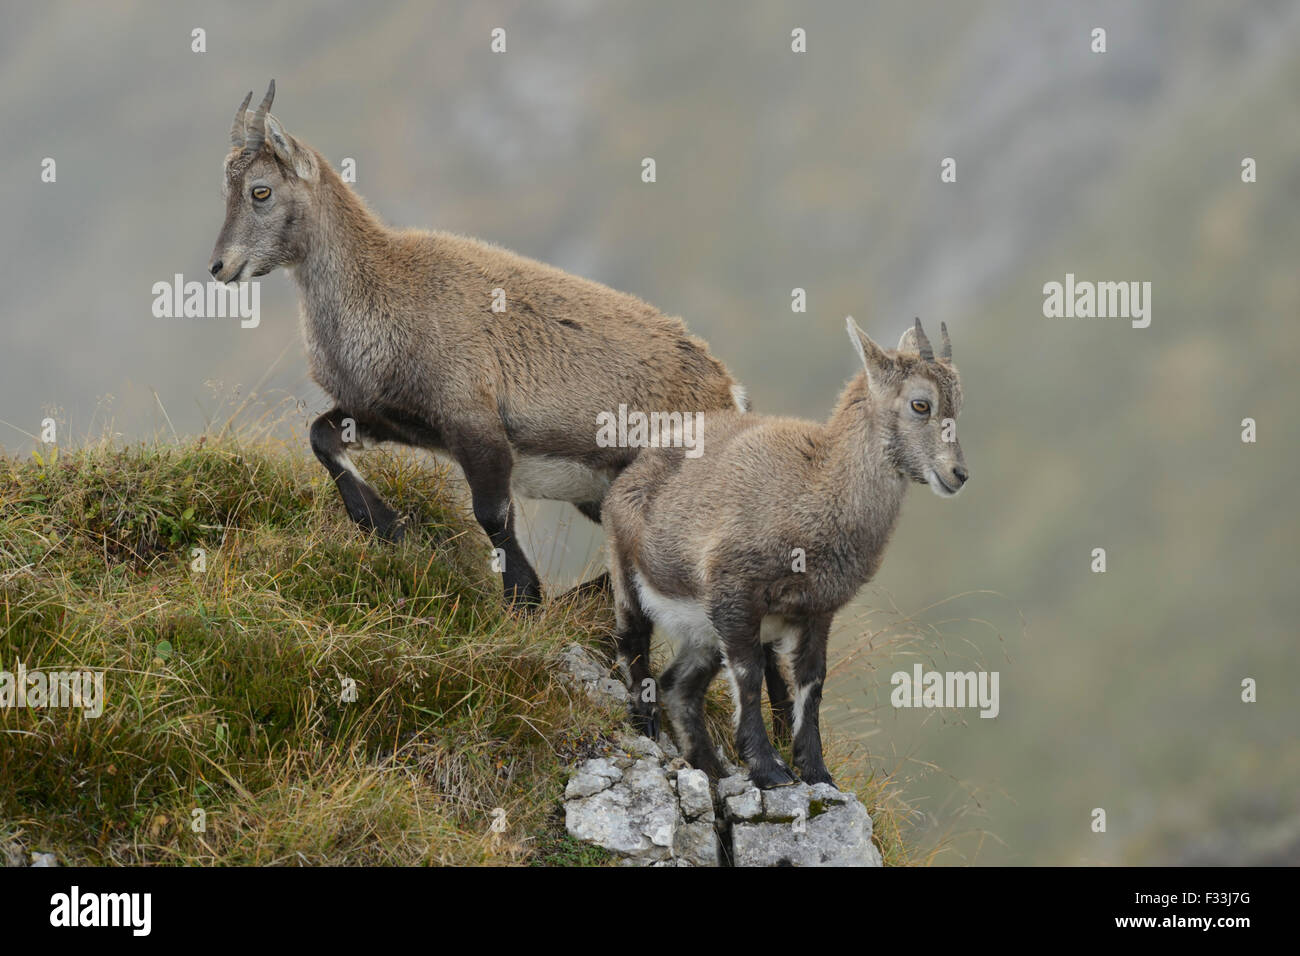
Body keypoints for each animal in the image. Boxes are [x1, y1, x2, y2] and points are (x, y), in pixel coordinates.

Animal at [208, 81, 747, 607]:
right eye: (226, 191)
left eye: (260, 190)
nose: (219, 267)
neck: (381, 287)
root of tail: (730, 392)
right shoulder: (393, 418)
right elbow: (320, 435)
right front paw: (388, 527)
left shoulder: (475, 421)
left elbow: (490, 511)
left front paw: (523, 596)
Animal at [602, 318, 968, 788]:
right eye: (921, 404)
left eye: (959, 403)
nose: (957, 474)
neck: (817, 489)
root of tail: (635, 470)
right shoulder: (735, 595)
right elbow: (750, 675)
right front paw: (767, 767)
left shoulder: (817, 612)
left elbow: (812, 683)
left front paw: (816, 770)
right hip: (629, 571)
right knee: (633, 644)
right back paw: (645, 721)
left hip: (702, 629)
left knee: (679, 686)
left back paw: (710, 767)